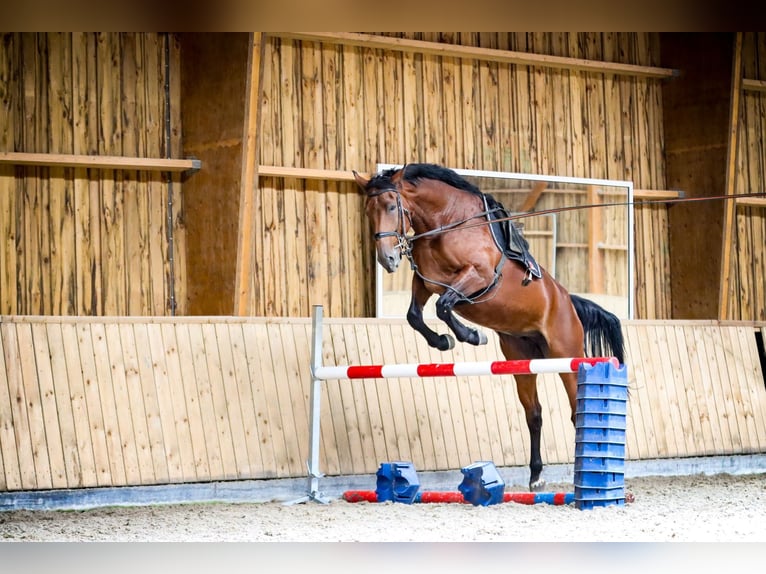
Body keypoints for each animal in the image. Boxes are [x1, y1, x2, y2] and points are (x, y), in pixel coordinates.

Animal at [352, 164, 628, 492]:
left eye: (392, 207)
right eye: (368, 211)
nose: (388, 259)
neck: (446, 223)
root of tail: (567, 301)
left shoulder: (477, 276)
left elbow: (443, 305)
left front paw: (472, 335)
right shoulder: (425, 283)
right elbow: (415, 315)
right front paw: (444, 341)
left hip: (567, 356)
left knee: (576, 413)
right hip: (520, 359)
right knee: (534, 414)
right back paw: (536, 476)